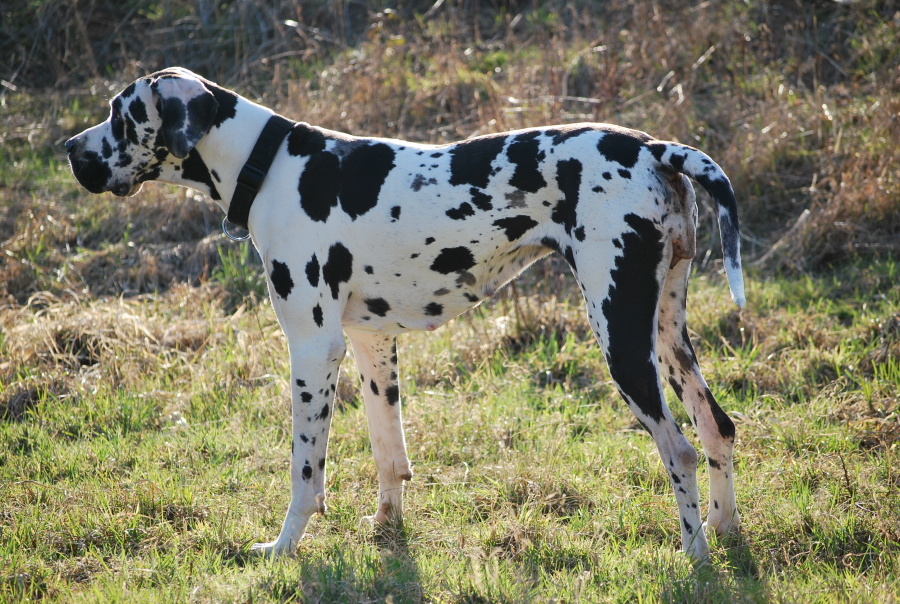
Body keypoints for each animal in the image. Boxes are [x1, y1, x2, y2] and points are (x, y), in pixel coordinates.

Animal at [67, 67, 744, 560]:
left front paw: (283, 548)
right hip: (667, 336)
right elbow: (389, 456)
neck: (272, 166)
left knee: (681, 451)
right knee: (717, 429)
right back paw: (726, 533)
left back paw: (694, 556)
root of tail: (654, 146)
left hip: (622, 341)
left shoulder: (313, 351)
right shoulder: (371, 345)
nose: (69, 149)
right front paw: (385, 532)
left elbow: (305, 474)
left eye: (120, 115)